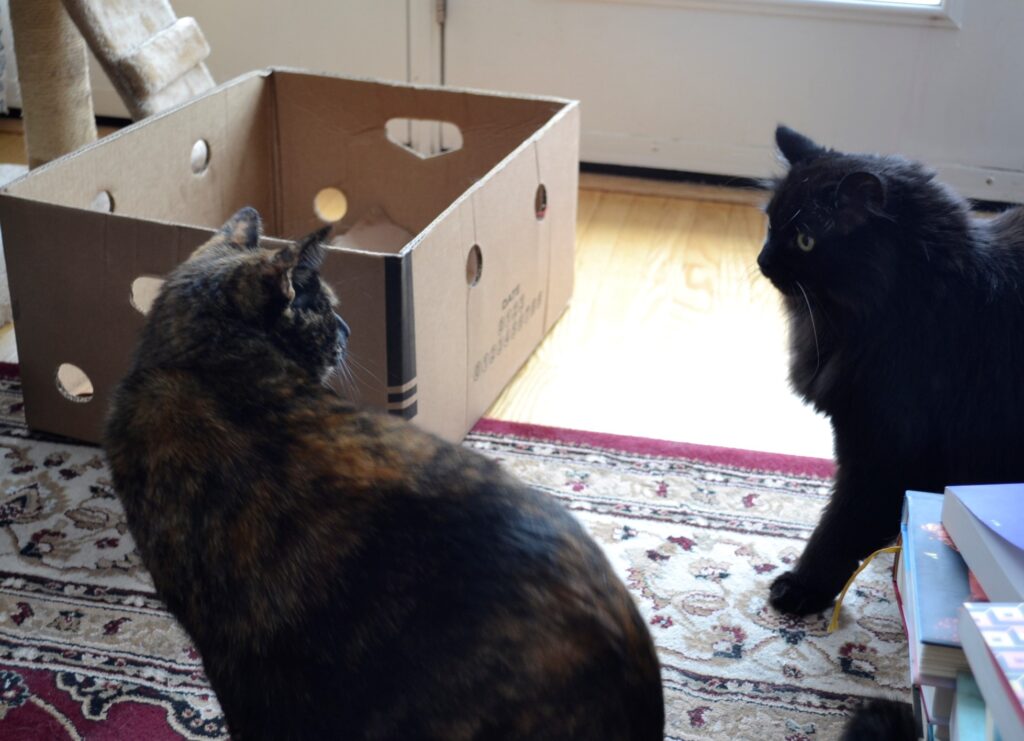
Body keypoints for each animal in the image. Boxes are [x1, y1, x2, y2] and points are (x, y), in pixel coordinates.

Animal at [757, 124, 1024, 618]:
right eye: (771, 225)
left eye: (805, 240)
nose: (762, 261)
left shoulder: (883, 452)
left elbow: (838, 528)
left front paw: (802, 588)